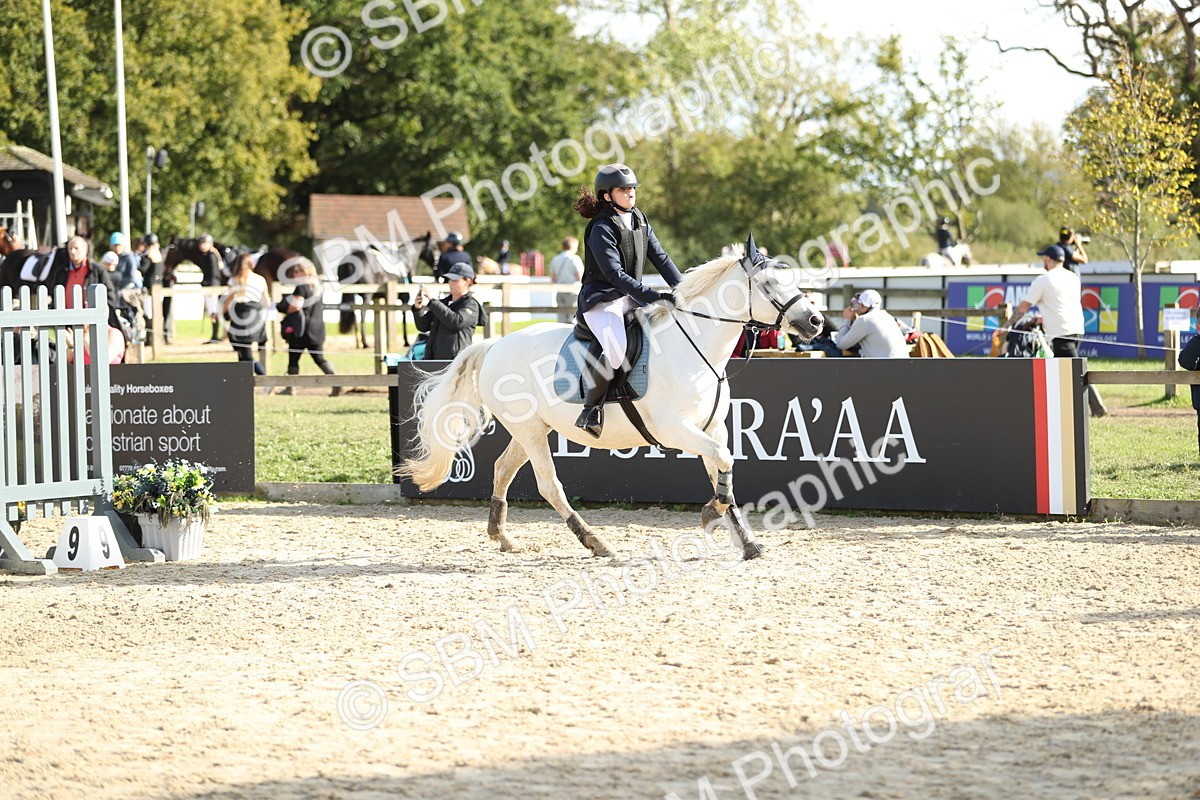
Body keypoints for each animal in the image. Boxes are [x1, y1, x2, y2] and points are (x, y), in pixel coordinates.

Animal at [397, 235, 825, 562]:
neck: (696, 345)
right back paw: (595, 541)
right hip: (530, 430)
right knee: (549, 486)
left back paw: (502, 536)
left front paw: (747, 542)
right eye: (769, 285)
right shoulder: (675, 429)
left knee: (503, 469)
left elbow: (723, 472)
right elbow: (724, 464)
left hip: (533, 429)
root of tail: (494, 345)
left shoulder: (712, 428)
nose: (815, 321)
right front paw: (709, 515)